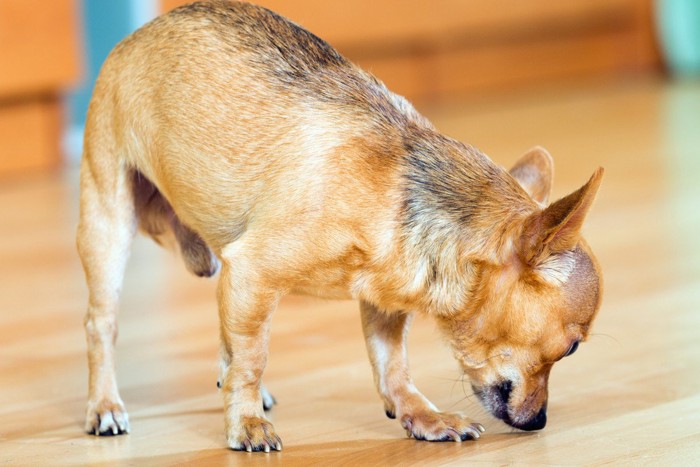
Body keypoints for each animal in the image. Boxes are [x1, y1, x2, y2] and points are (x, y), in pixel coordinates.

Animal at [75, 0, 600, 454]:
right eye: (571, 349)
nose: (540, 422)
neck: (401, 197)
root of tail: (138, 35)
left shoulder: (383, 304)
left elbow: (392, 366)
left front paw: (421, 416)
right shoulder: (253, 272)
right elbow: (252, 358)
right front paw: (245, 422)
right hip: (108, 223)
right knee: (102, 325)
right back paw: (104, 404)